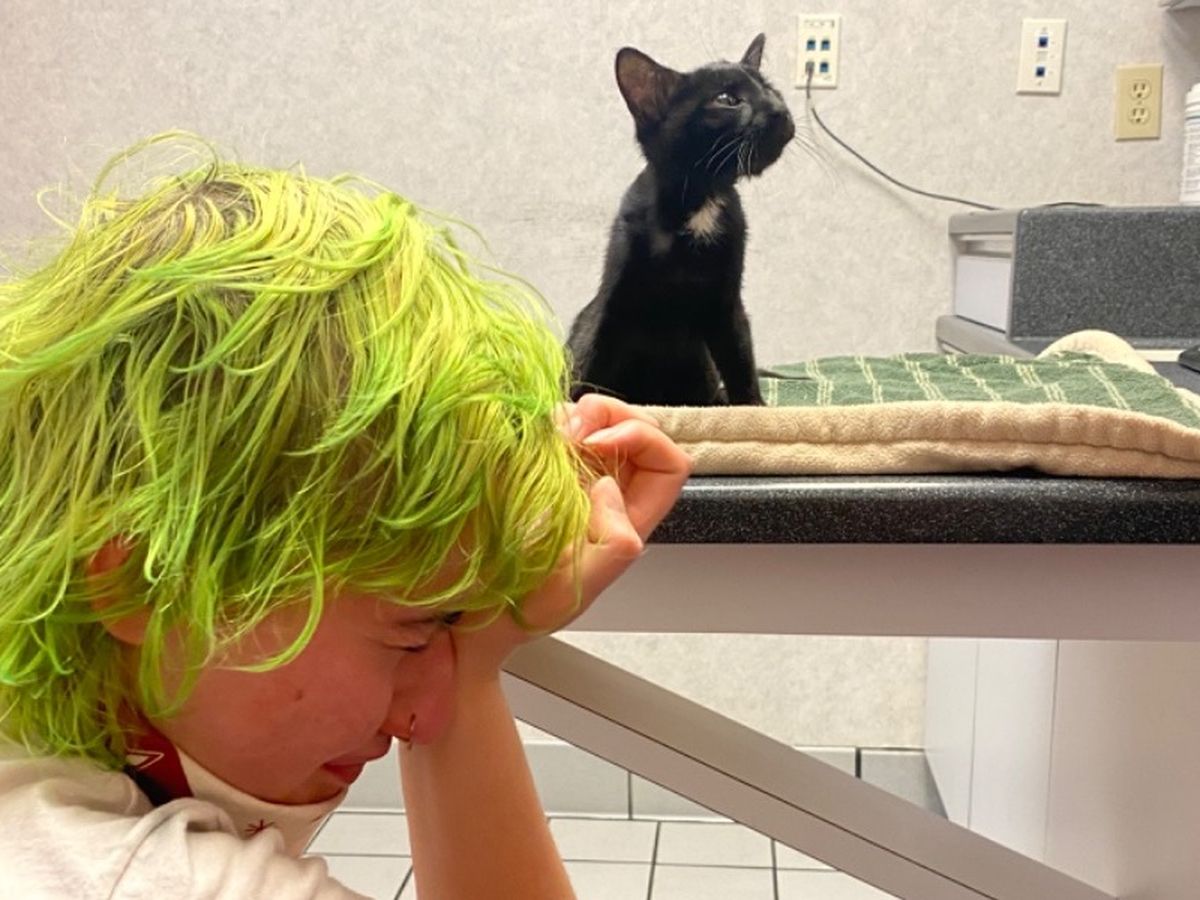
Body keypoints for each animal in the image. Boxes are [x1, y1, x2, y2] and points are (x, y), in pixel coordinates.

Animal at [568, 33, 794, 406]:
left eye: (772, 89)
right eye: (727, 100)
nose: (781, 110)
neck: (700, 199)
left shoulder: (726, 304)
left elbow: (740, 359)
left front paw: (754, 408)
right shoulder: (616, 304)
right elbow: (591, 366)